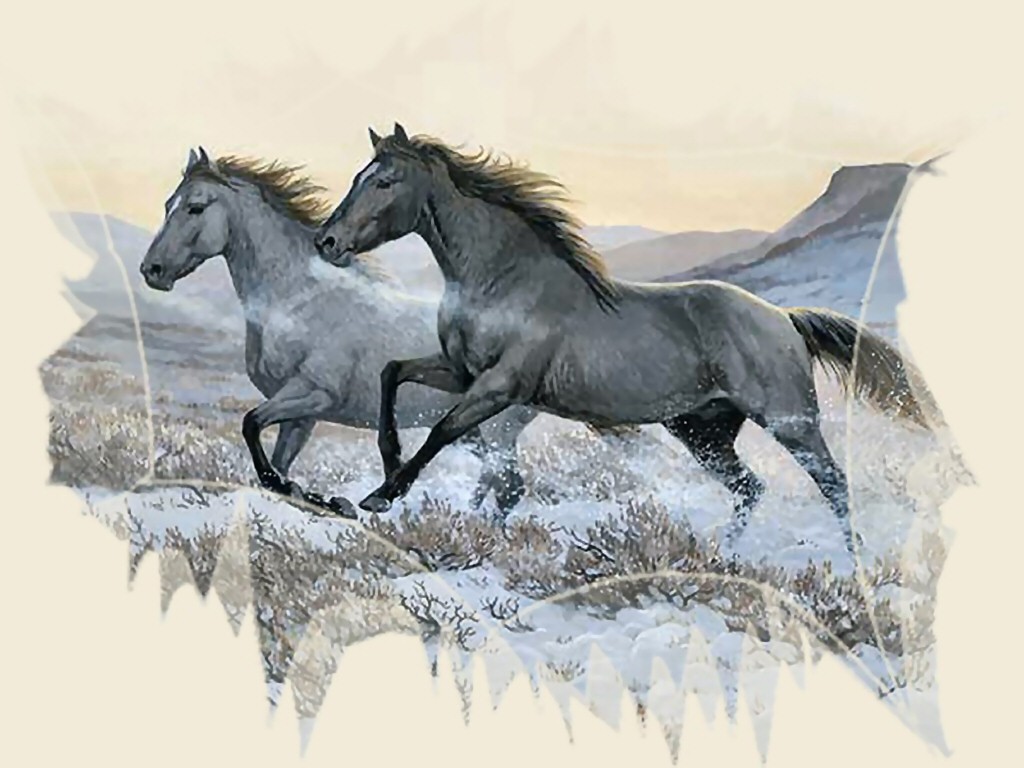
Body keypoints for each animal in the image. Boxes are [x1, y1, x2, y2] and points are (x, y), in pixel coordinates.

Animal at [139, 146, 545, 517]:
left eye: (196, 207)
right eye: (168, 205)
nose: (152, 270)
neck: (300, 300)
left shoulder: (313, 394)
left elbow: (251, 426)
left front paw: (335, 502)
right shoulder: (300, 417)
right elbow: (276, 463)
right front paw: (320, 498)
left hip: (496, 432)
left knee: (507, 489)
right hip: (475, 435)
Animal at [312, 123, 939, 552]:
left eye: (384, 181)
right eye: (358, 178)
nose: (327, 242)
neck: (505, 279)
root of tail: (782, 317)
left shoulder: (500, 386)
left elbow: (443, 429)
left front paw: (383, 494)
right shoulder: (460, 371)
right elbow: (392, 373)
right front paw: (385, 468)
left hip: (790, 420)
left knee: (833, 483)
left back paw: (852, 560)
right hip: (703, 432)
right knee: (750, 489)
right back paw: (723, 555)